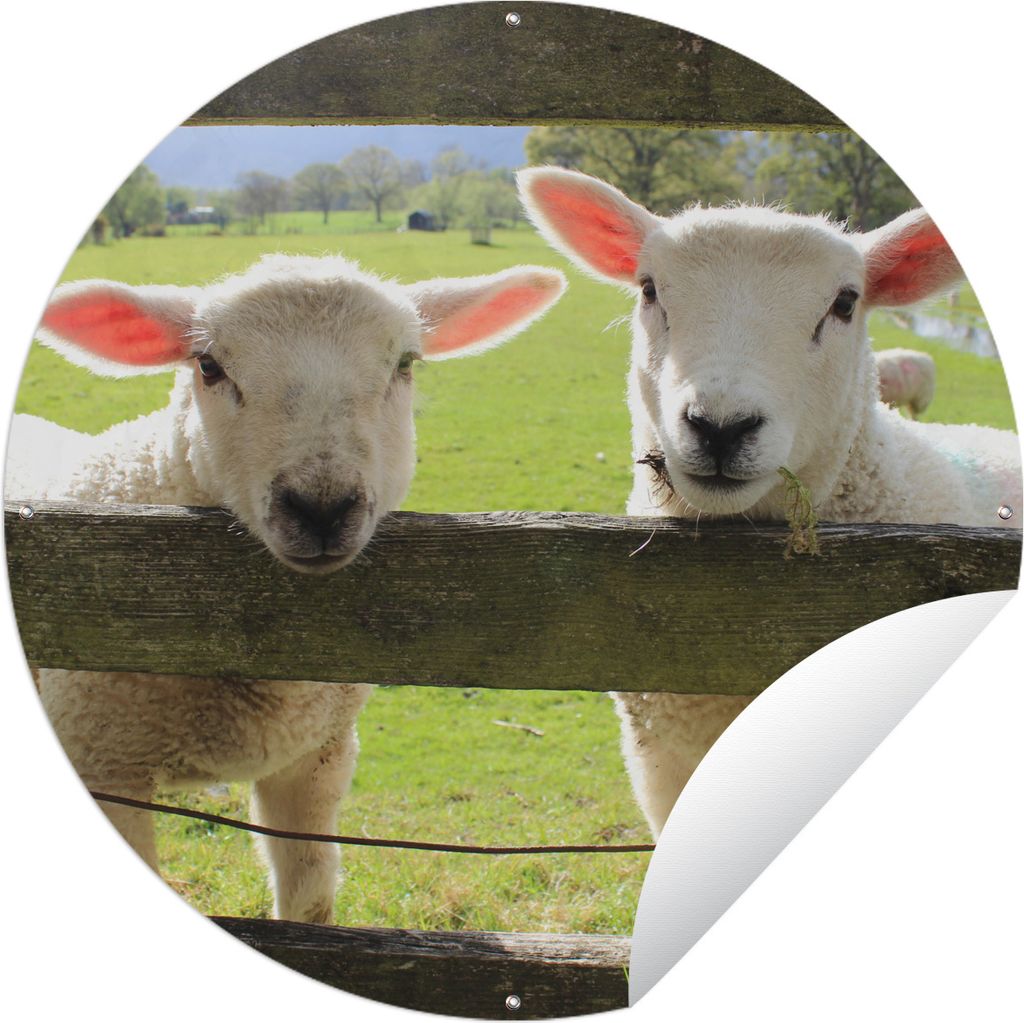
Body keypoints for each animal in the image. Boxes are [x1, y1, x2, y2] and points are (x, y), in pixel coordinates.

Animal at [5, 253, 567, 920]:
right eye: (209, 366)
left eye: (405, 363)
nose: (321, 507)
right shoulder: (104, 763)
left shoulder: (316, 755)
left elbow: (310, 900)